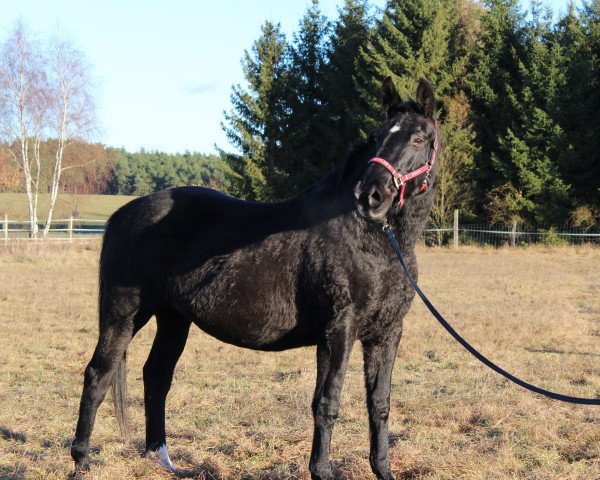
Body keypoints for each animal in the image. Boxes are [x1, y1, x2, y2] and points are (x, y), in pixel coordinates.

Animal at [71, 77, 440, 478]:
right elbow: (327, 401)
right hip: (123, 315)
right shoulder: (338, 331)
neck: (375, 239)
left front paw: (383, 469)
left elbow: (380, 404)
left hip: (174, 319)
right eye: (377, 137)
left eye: (418, 138)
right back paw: (82, 460)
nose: (370, 195)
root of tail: (124, 214)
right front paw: (322, 470)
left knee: (156, 376)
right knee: (98, 374)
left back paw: (163, 458)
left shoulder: (386, 333)